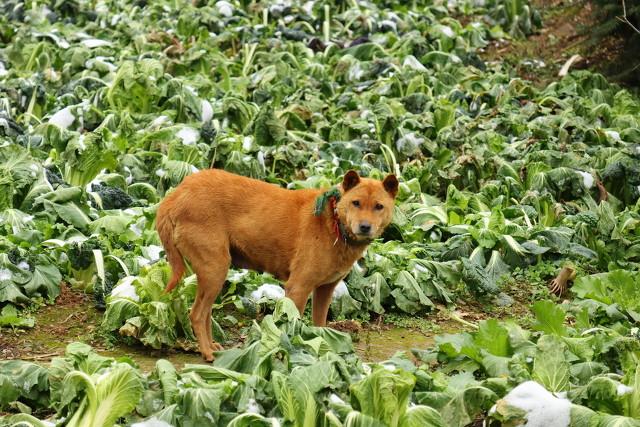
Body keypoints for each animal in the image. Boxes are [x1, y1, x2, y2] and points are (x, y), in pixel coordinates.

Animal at [156, 168, 396, 362]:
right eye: (356, 203)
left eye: (379, 206)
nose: (365, 227)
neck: (334, 220)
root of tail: (176, 195)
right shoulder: (298, 288)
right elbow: (293, 326)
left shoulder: (324, 290)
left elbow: (320, 327)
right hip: (215, 269)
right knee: (196, 314)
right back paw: (207, 353)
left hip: (214, 273)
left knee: (205, 313)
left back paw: (212, 346)